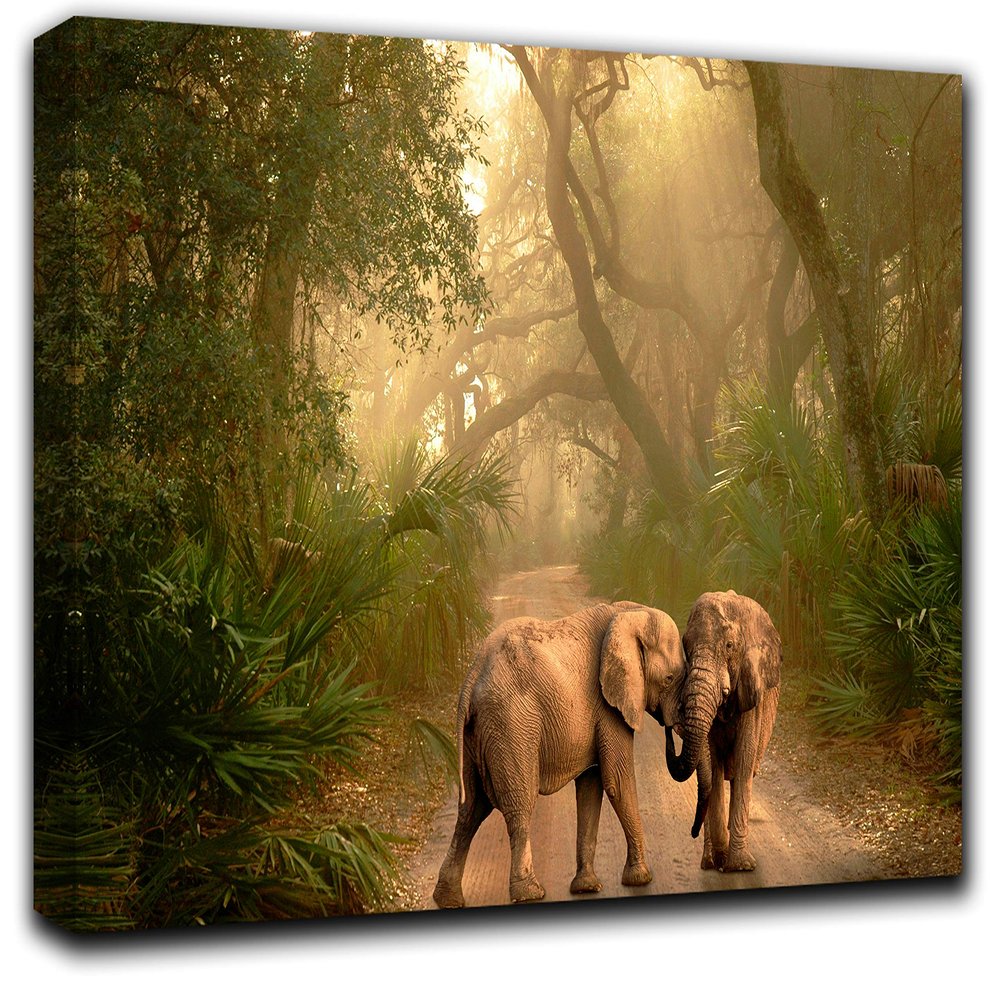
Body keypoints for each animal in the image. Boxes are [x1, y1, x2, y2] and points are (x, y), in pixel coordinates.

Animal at [432, 602, 685, 907]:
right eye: (669, 679)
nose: (670, 727)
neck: (630, 611)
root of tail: (471, 676)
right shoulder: (609, 706)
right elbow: (617, 781)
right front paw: (640, 879)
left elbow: (591, 787)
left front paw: (586, 887)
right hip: (511, 724)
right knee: (519, 804)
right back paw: (530, 893)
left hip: (477, 735)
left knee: (471, 809)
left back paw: (447, 899)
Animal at [664, 590, 781, 873]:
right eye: (686, 646)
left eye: (729, 646)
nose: (693, 832)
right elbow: (712, 764)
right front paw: (718, 860)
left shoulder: (752, 690)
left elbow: (744, 759)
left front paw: (739, 867)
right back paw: (709, 861)